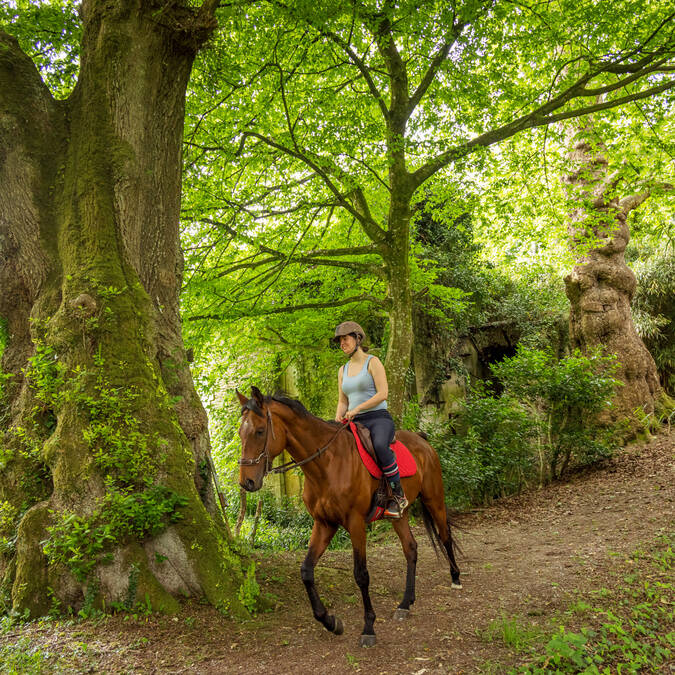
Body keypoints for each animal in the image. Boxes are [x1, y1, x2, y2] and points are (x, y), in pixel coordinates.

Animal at [235, 386, 462, 648]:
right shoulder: (324, 524)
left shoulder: (355, 524)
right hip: (399, 515)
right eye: (241, 432)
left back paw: (456, 578)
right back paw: (405, 603)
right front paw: (330, 622)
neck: (327, 464)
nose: (247, 482)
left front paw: (368, 628)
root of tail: (422, 440)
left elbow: (361, 575)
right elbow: (306, 571)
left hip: (434, 500)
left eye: (260, 431)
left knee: (445, 535)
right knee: (411, 548)